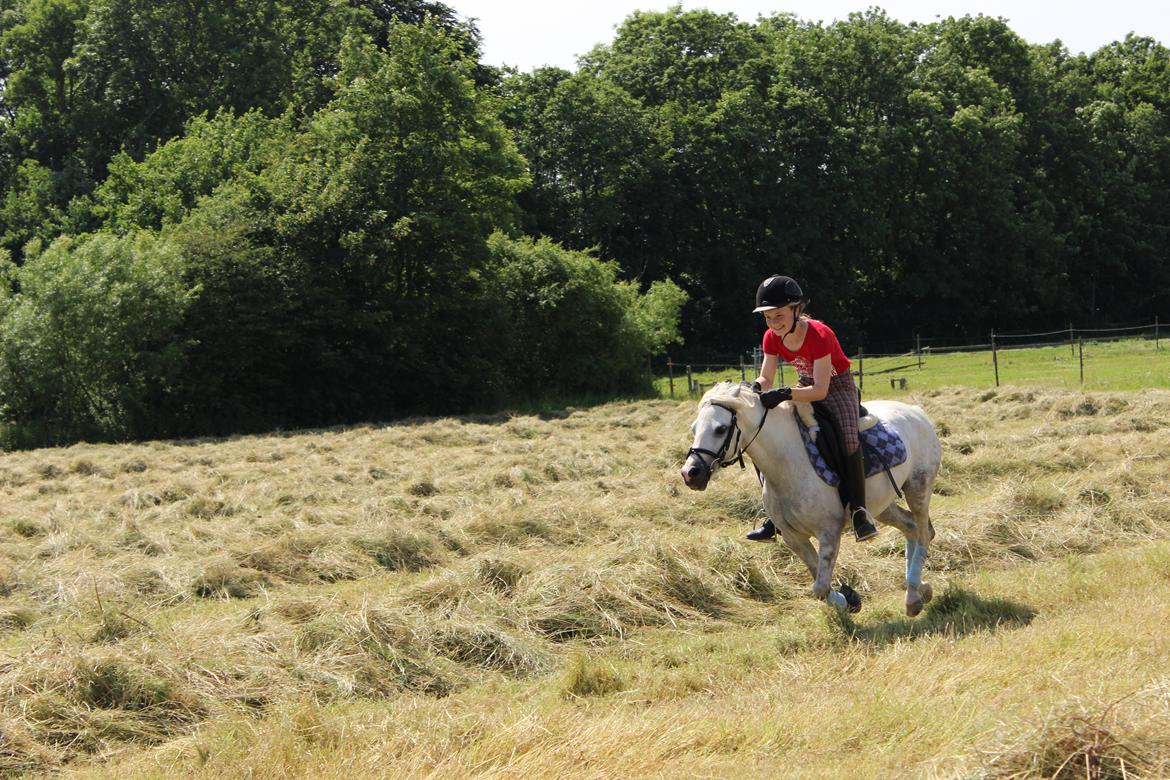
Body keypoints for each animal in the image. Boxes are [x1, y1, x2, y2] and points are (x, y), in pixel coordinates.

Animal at [683, 383, 940, 617]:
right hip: (881, 506)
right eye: (694, 428)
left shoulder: (829, 532)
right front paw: (849, 597)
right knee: (911, 528)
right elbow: (818, 580)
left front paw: (848, 598)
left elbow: (820, 587)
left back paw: (912, 598)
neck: (788, 463)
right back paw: (921, 590)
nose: (690, 473)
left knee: (923, 533)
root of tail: (916, 411)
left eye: (720, 429)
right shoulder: (793, 537)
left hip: (917, 489)